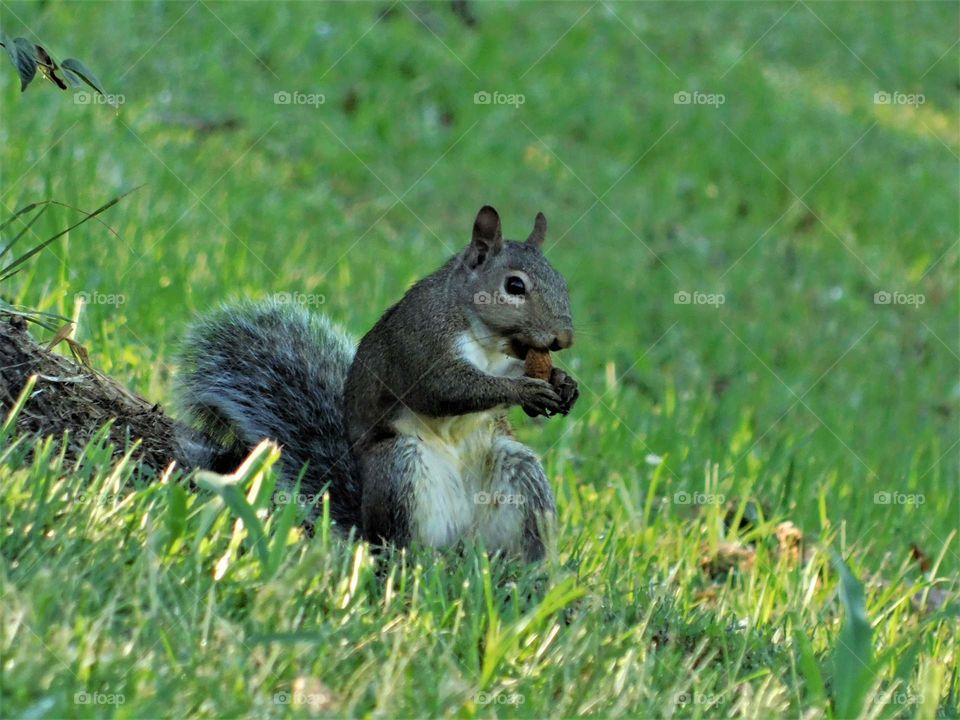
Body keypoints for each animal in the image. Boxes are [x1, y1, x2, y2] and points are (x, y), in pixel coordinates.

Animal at [175, 205, 579, 560]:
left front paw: (563, 383)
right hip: (400, 469)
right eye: (515, 286)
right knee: (402, 543)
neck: (488, 339)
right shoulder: (419, 343)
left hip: (518, 471)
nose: (565, 338)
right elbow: (444, 390)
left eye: (563, 282)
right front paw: (525, 390)